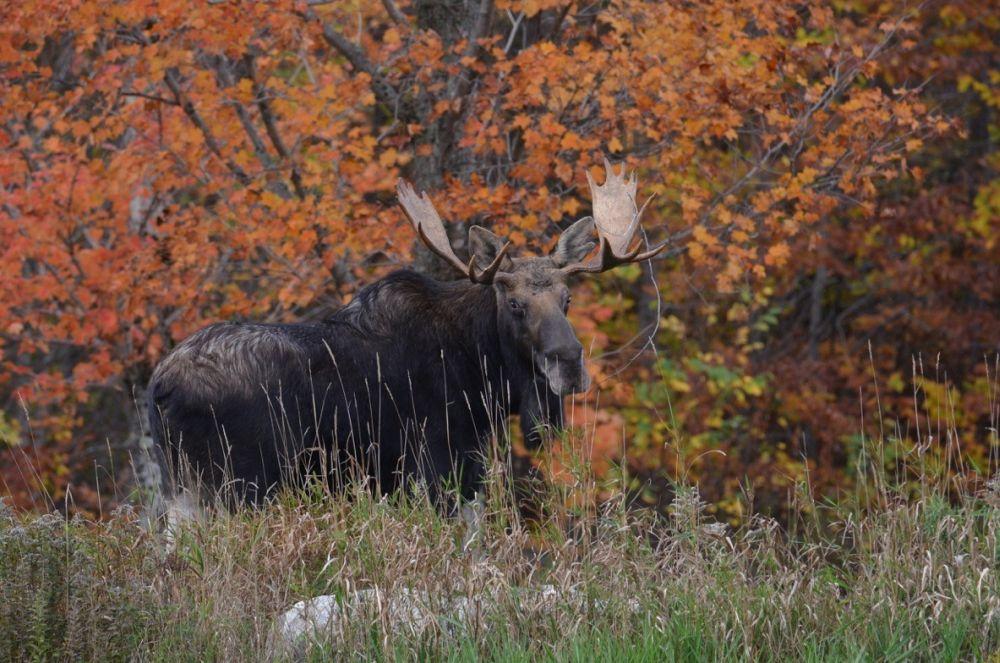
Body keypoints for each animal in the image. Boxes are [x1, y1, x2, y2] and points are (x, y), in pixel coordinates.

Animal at [146, 160, 664, 504]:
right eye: (515, 304)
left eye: (567, 299)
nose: (569, 363)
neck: (483, 376)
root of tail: (159, 387)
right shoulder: (436, 462)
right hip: (238, 483)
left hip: (181, 489)